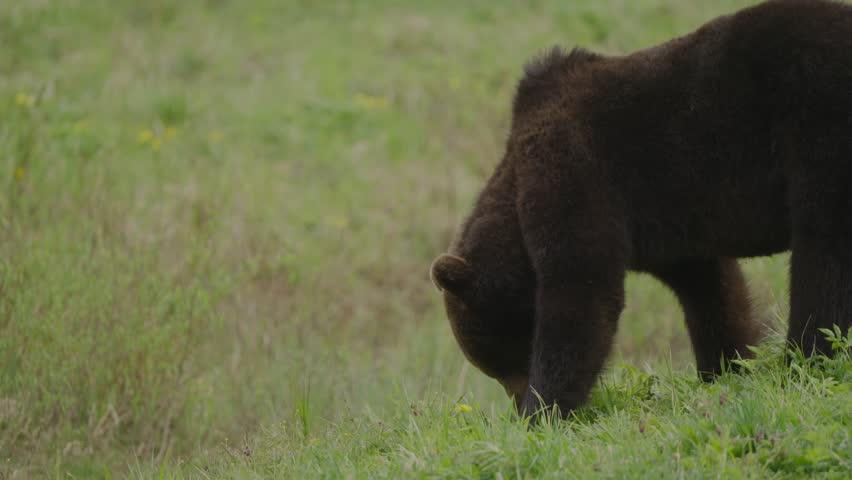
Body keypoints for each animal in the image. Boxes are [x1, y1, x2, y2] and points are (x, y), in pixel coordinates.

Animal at [431, 0, 852, 417]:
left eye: (496, 359)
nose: (516, 402)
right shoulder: (672, 227)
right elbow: (710, 288)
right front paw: (725, 366)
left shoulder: (575, 172)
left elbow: (581, 288)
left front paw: (545, 409)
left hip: (817, 124)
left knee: (822, 251)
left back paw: (805, 355)